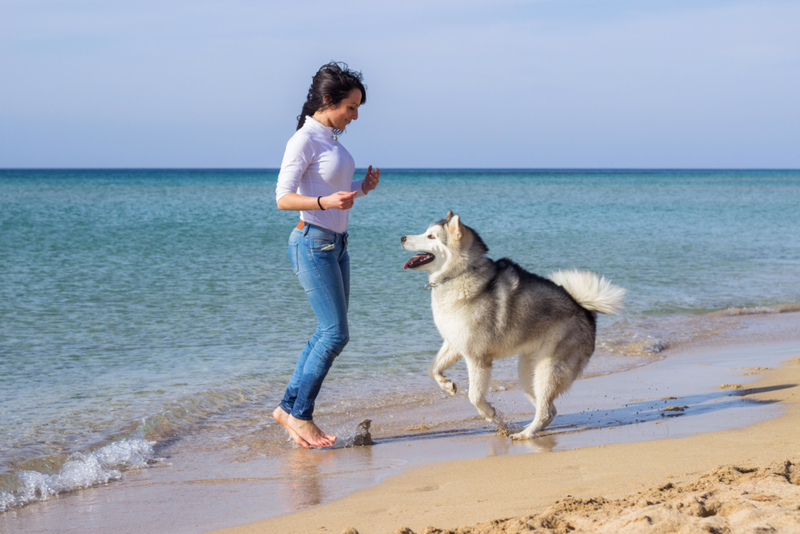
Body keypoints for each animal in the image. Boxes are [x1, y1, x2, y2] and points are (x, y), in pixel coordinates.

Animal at [400, 211, 624, 442]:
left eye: (431, 236)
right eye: (426, 232)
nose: (402, 238)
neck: (459, 274)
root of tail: (585, 311)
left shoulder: (478, 358)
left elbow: (474, 396)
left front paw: (489, 413)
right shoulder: (454, 344)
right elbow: (431, 368)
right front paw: (446, 384)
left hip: (547, 371)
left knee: (545, 410)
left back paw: (526, 434)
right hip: (528, 374)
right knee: (550, 410)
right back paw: (529, 428)